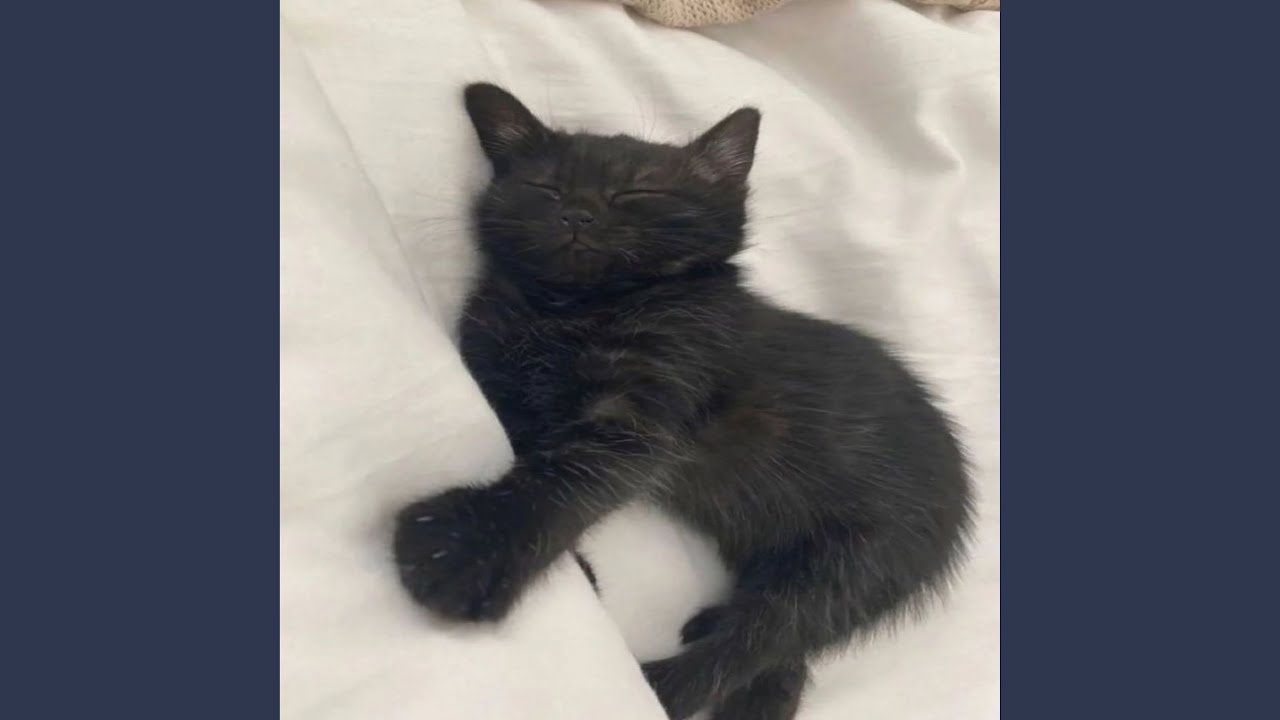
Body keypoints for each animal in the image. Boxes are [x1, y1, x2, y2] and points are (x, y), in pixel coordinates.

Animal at [393, 83, 975, 720]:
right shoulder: (500, 379)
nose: (578, 213)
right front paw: (571, 565)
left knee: (762, 636)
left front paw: (465, 548)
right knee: (781, 647)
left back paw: (659, 684)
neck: (573, 307)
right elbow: (530, 455)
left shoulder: (644, 407)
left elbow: (565, 477)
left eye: (637, 192)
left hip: (866, 553)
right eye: (545, 187)